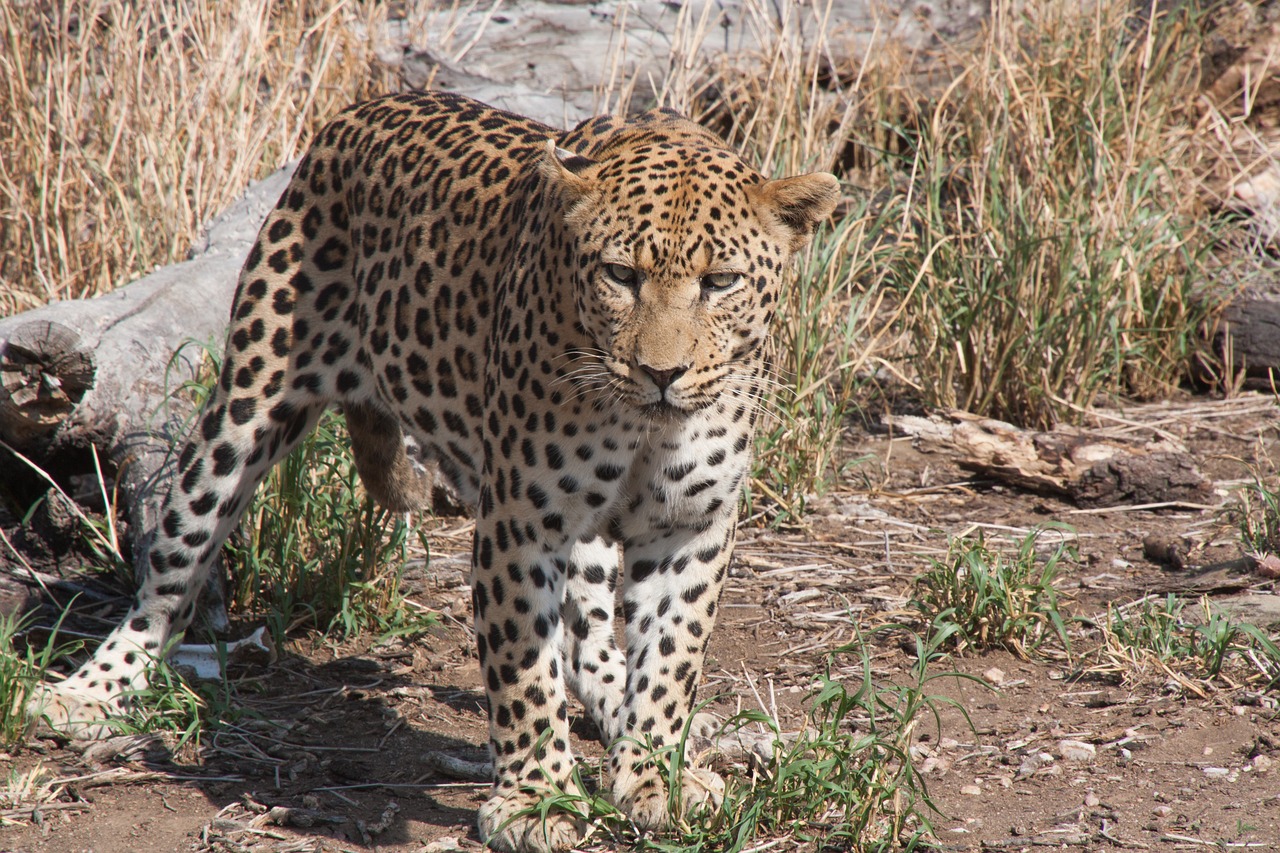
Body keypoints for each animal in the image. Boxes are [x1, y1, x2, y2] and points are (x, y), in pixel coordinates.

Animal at [32, 89, 839, 845]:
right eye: (619, 274)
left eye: (721, 282)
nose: (661, 373)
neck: (645, 423)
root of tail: (361, 111)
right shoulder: (522, 521)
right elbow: (523, 671)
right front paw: (537, 799)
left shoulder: (688, 527)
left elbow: (671, 658)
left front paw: (654, 773)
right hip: (244, 410)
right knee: (168, 575)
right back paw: (86, 690)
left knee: (589, 632)